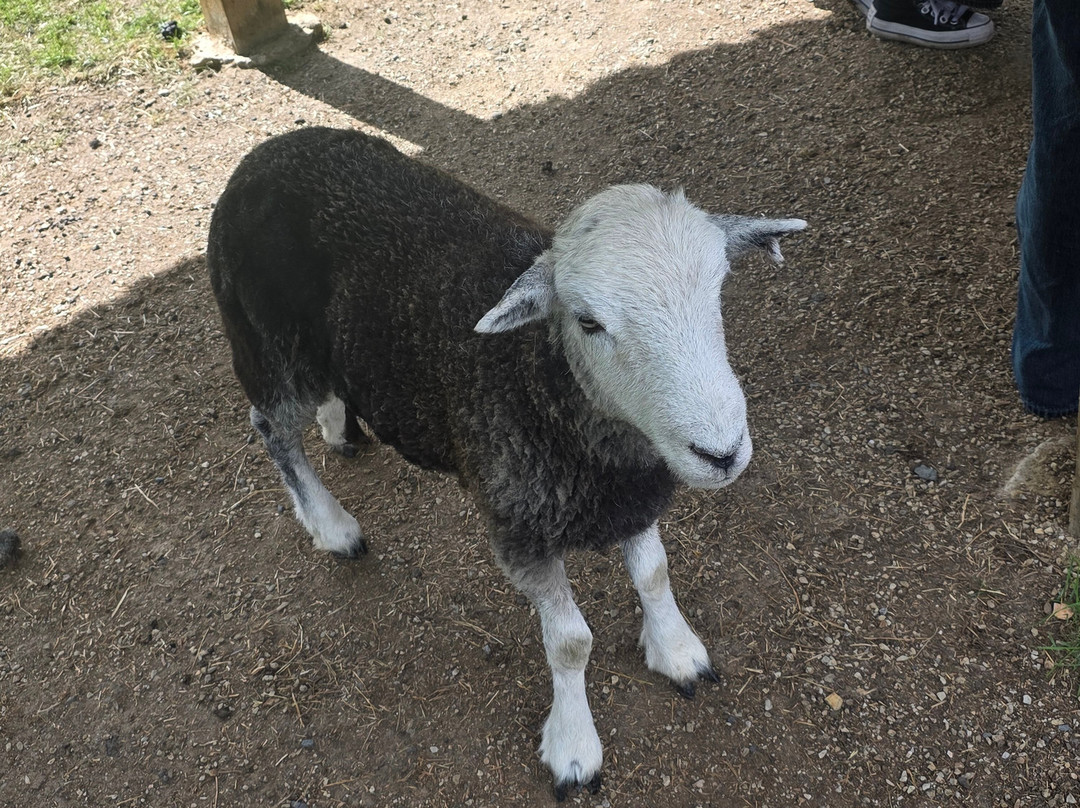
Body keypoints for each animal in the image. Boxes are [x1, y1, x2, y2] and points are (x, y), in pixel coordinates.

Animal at [206, 126, 805, 799]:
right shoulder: (519, 528)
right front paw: (574, 745)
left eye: (719, 290)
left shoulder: (631, 493)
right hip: (269, 347)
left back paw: (339, 424)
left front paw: (677, 650)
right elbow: (570, 643)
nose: (721, 453)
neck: (542, 380)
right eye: (588, 321)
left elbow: (654, 573)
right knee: (271, 429)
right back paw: (332, 526)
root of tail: (263, 154)